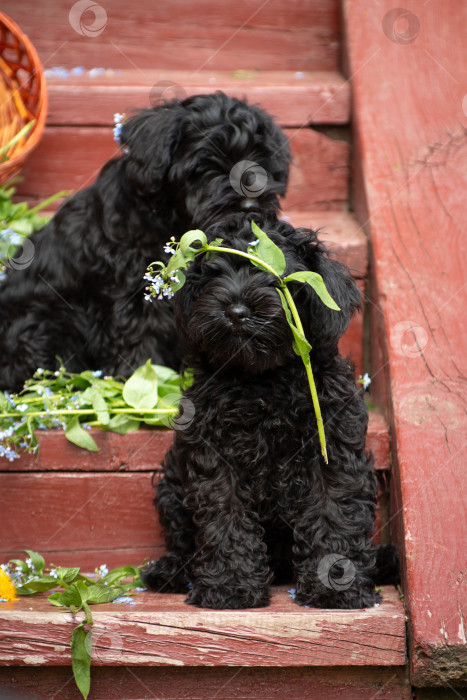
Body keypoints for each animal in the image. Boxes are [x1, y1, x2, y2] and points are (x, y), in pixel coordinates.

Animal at [0, 91, 290, 394]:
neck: (170, 217)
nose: (250, 204)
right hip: (46, 319)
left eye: (260, 160)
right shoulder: (136, 292)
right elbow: (140, 336)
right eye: (207, 164)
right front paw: (144, 378)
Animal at [143, 212, 398, 608]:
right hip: (171, 485)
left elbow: (334, 510)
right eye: (214, 275)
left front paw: (336, 586)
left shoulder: (332, 450)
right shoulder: (216, 455)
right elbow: (225, 516)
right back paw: (170, 570)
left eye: (276, 278)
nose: (236, 311)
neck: (263, 380)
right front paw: (230, 587)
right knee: (184, 541)